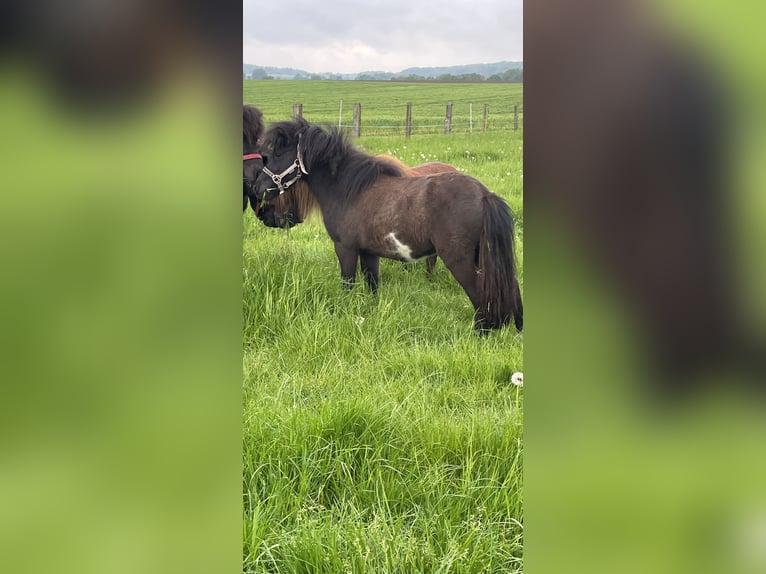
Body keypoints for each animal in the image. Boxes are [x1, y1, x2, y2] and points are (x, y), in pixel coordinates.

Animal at [255, 118, 524, 332]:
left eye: (278, 154)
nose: (258, 189)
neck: (350, 190)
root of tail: (484, 195)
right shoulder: (369, 253)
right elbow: (372, 286)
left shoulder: (345, 248)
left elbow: (348, 284)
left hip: (461, 261)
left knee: (480, 297)